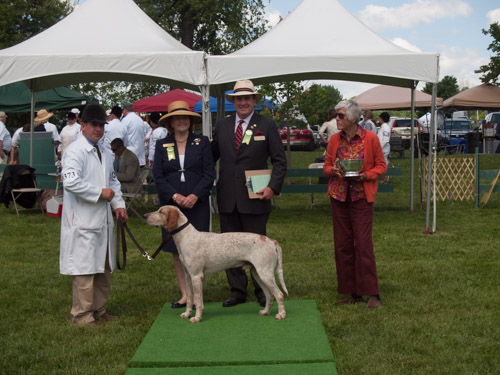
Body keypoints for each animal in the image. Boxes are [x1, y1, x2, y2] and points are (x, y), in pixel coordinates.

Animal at [145, 206, 288, 324]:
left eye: (161, 211)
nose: (145, 215)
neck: (187, 237)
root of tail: (271, 240)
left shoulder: (196, 276)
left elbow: (198, 300)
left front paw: (197, 318)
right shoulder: (187, 276)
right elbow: (190, 299)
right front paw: (187, 314)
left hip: (265, 274)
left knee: (279, 295)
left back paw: (281, 314)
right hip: (258, 274)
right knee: (270, 295)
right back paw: (265, 312)